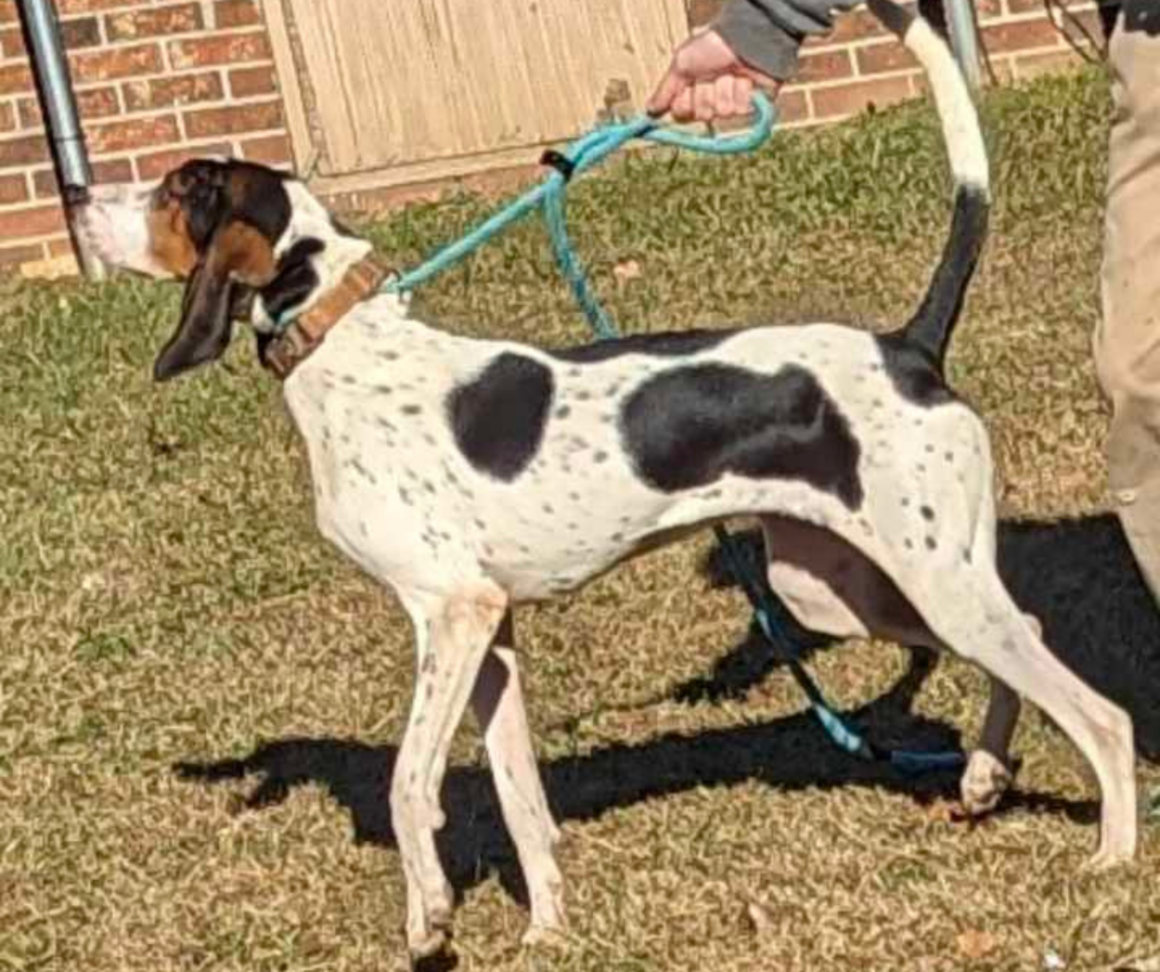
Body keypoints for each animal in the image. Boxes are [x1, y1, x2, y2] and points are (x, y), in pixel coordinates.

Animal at [77, 0, 1136, 960]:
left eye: (181, 186)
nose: (80, 193)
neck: (345, 344)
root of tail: (906, 345)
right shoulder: (493, 637)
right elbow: (522, 804)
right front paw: (547, 930)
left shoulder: (450, 613)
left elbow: (409, 784)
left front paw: (429, 919)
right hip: (844, 589)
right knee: (1024, 642)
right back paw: (984, 775)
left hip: (929, 582)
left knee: (1102, 712)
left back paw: (1114, 857)